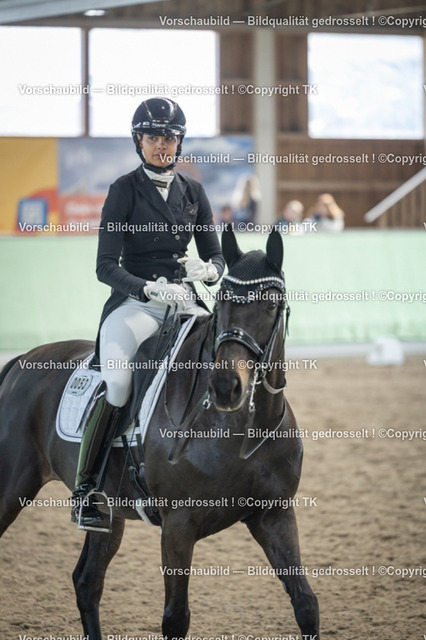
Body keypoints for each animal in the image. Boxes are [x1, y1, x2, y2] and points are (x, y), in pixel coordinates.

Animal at [0, 227, 320, 640]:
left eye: (271, 306)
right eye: (222, 306)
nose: (225, 387)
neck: (240, 430)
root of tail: (20, 362)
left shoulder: (274, 515)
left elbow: (306, 604)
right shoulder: (178, 526)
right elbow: (175, 618)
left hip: (108, 512)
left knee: (87, 583)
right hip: (12, 487)